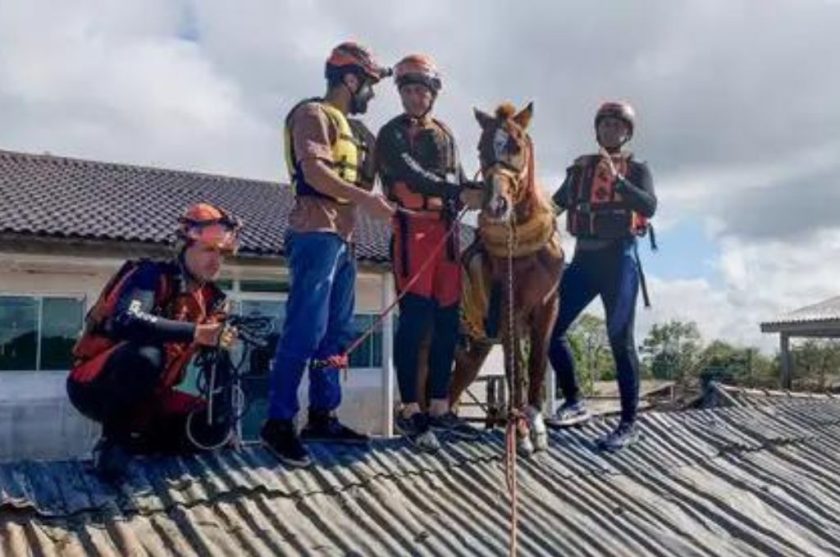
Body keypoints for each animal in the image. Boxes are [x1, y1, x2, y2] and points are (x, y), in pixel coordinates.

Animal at [446, 102, 564, 454]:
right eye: (481, 148)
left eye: (517, 145)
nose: (496, 205)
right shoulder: (509, 308)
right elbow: (516, 368)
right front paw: (521, 432)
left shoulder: (548, 306)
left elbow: (536, 363)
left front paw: (537, 425)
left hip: (474, 349)